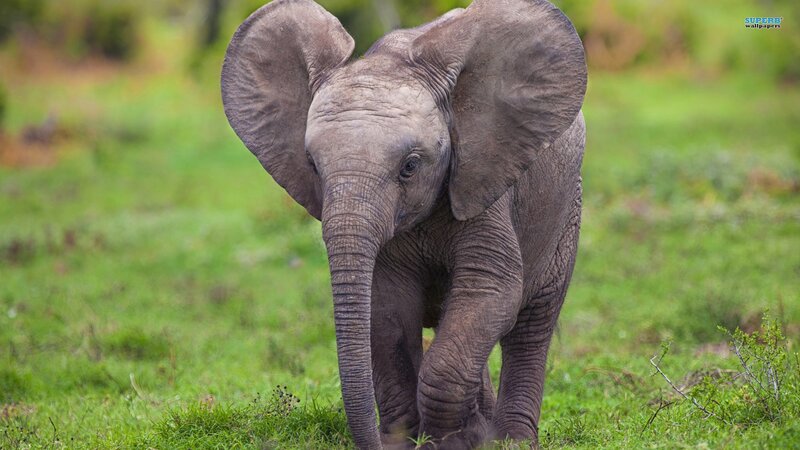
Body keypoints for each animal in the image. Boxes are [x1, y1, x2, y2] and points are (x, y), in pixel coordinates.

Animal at [221, 0, 587, 448]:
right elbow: (387, 309)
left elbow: (491, 291)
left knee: (533, 323)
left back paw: (510, 440)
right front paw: (410, 441)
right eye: (313, 166)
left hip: (566, 207)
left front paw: (451, 442)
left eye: (410, 166)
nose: (379, 440)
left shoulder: (484, 186)